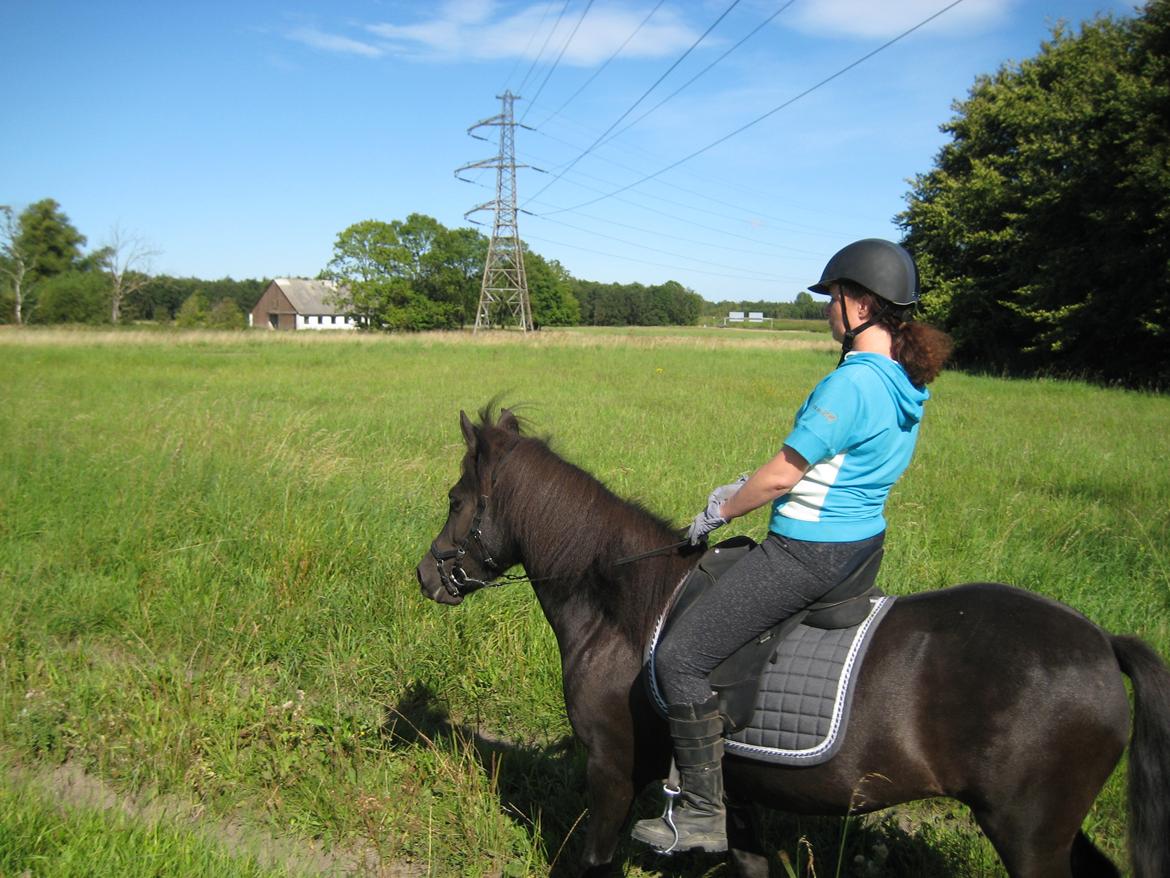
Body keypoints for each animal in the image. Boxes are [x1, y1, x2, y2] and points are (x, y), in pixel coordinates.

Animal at [416, 412, 1165, 878]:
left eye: (455, 498)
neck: (629, 609)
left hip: (1027, 829)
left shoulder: (614, 770)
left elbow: (592, 860)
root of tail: (1101, 643)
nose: (427, 575)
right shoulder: (737, 796)